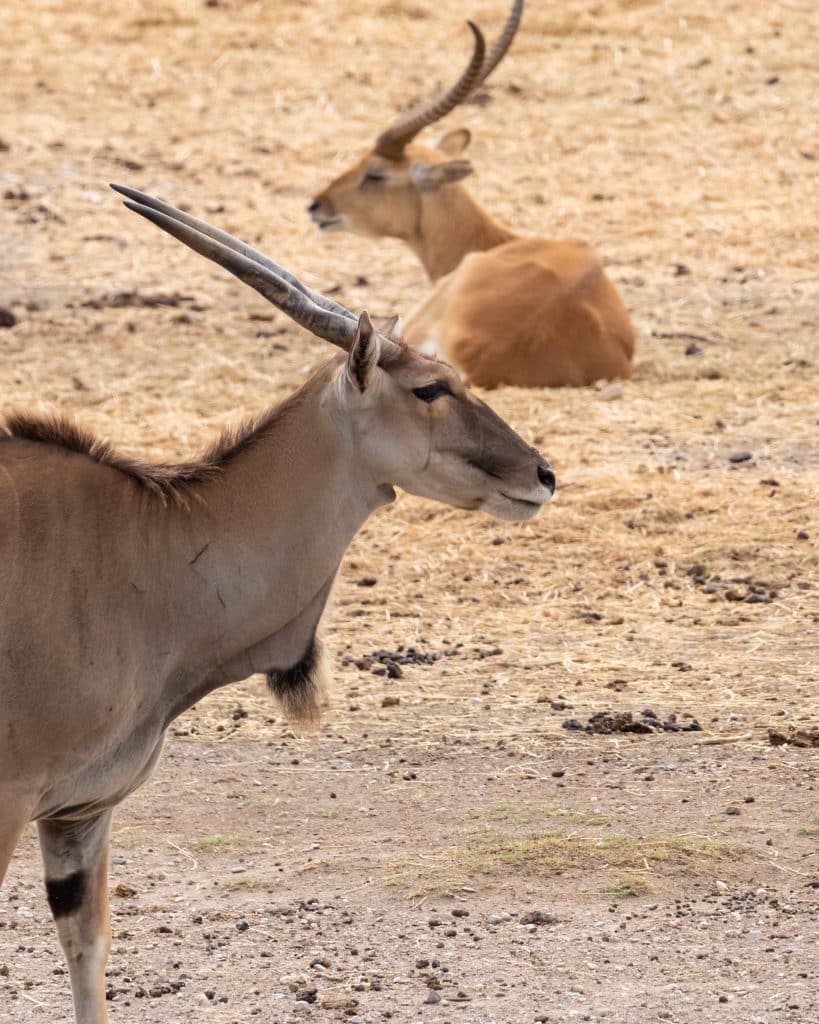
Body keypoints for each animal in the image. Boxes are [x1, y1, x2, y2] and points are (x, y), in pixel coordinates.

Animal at [0, 186, 556, 1024]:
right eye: (429, 388)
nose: (540, 474)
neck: (140, 543)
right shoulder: (10, 799)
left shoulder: (79, 814)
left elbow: (89, 954)